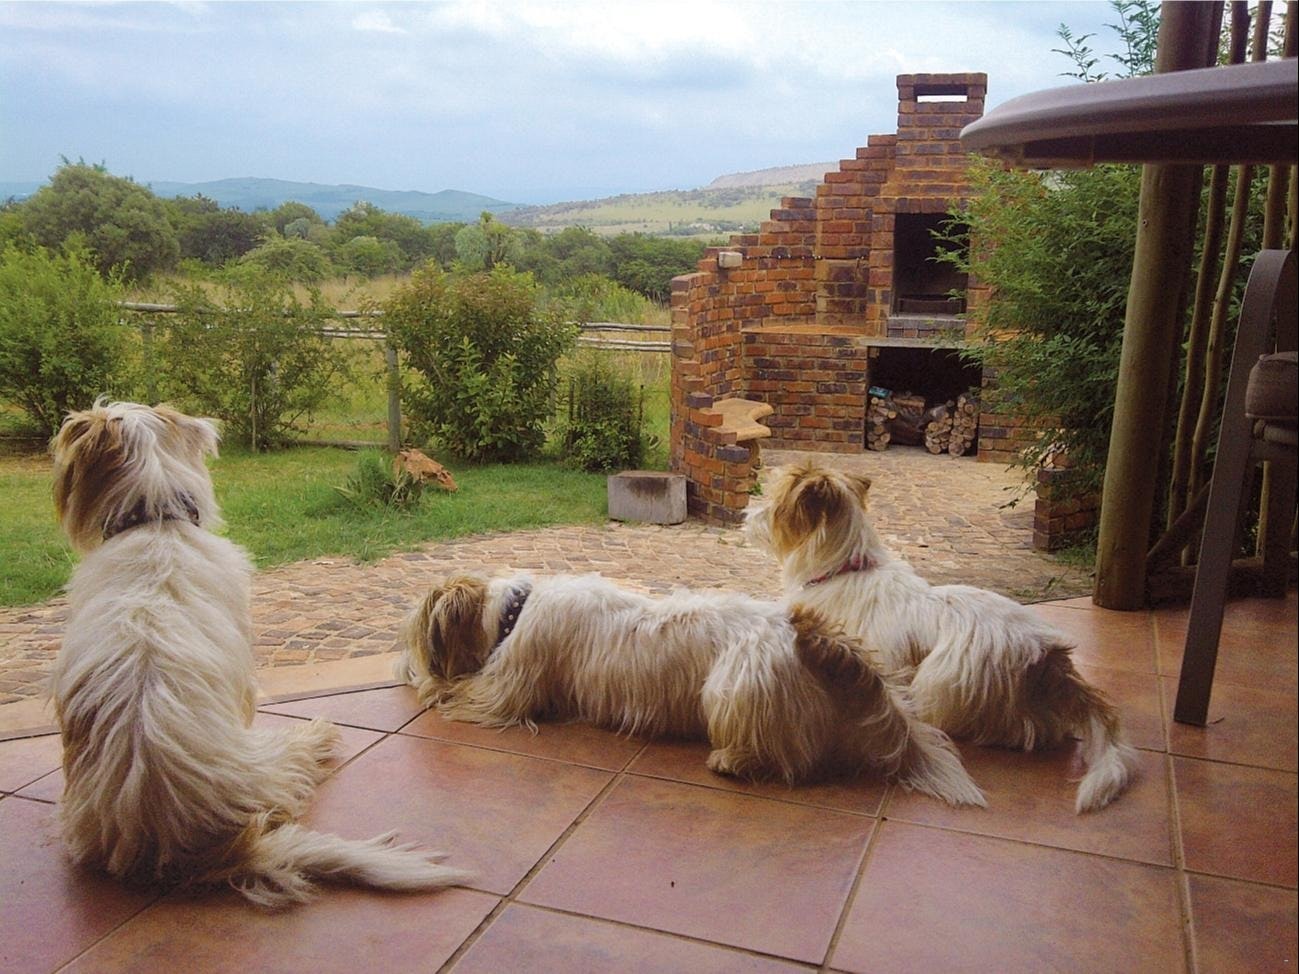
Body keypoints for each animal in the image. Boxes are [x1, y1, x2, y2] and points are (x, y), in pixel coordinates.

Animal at [397, 571, 986, 807]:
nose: (408, 663)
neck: (514, 611)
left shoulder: (503, 691)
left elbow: (450, 691)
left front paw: (424, 680)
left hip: (729, 688)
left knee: (787, 757)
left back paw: (733, 760)